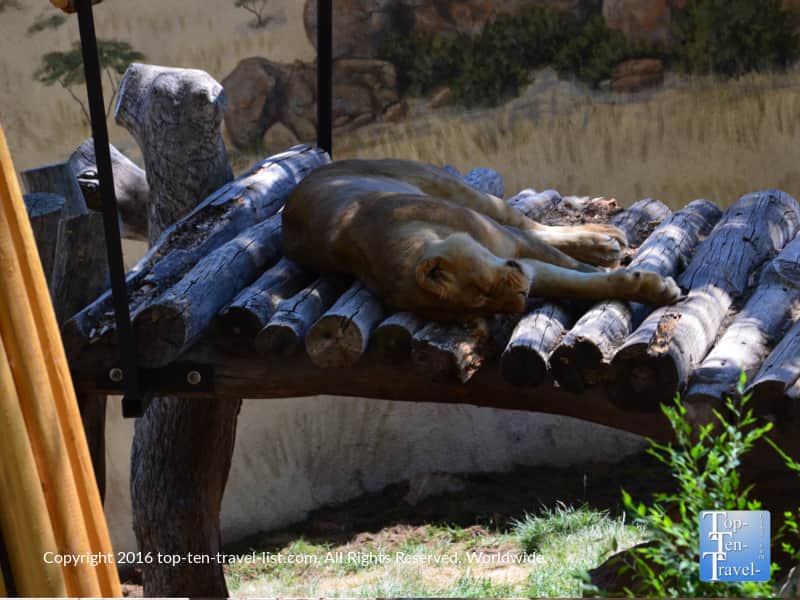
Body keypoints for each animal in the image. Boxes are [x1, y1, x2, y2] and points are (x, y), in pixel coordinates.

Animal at [282, 159, 681, 321]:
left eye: (483, 289)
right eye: (484, 306)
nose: (521, 297)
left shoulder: (513, 247)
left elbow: (575, 268)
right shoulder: (526, 266)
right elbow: (581, 283)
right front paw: (652, 288)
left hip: (461, 192)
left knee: (531, 223)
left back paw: (605, 241)